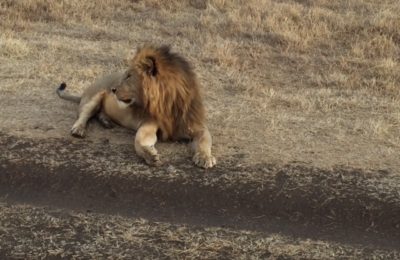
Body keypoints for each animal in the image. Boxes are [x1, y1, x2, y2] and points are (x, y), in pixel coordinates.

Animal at [57, 44, 216, 169]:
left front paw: (205, 158)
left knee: (99, 113)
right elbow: (139, 140)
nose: (113, 89)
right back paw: (79, 129)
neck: (169, 103)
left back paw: (106, 122)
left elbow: (204, 141)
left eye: (129, 76)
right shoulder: (149, 123)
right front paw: (150, 155)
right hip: (94, 96)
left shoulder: (196, 124)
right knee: (84, 114)